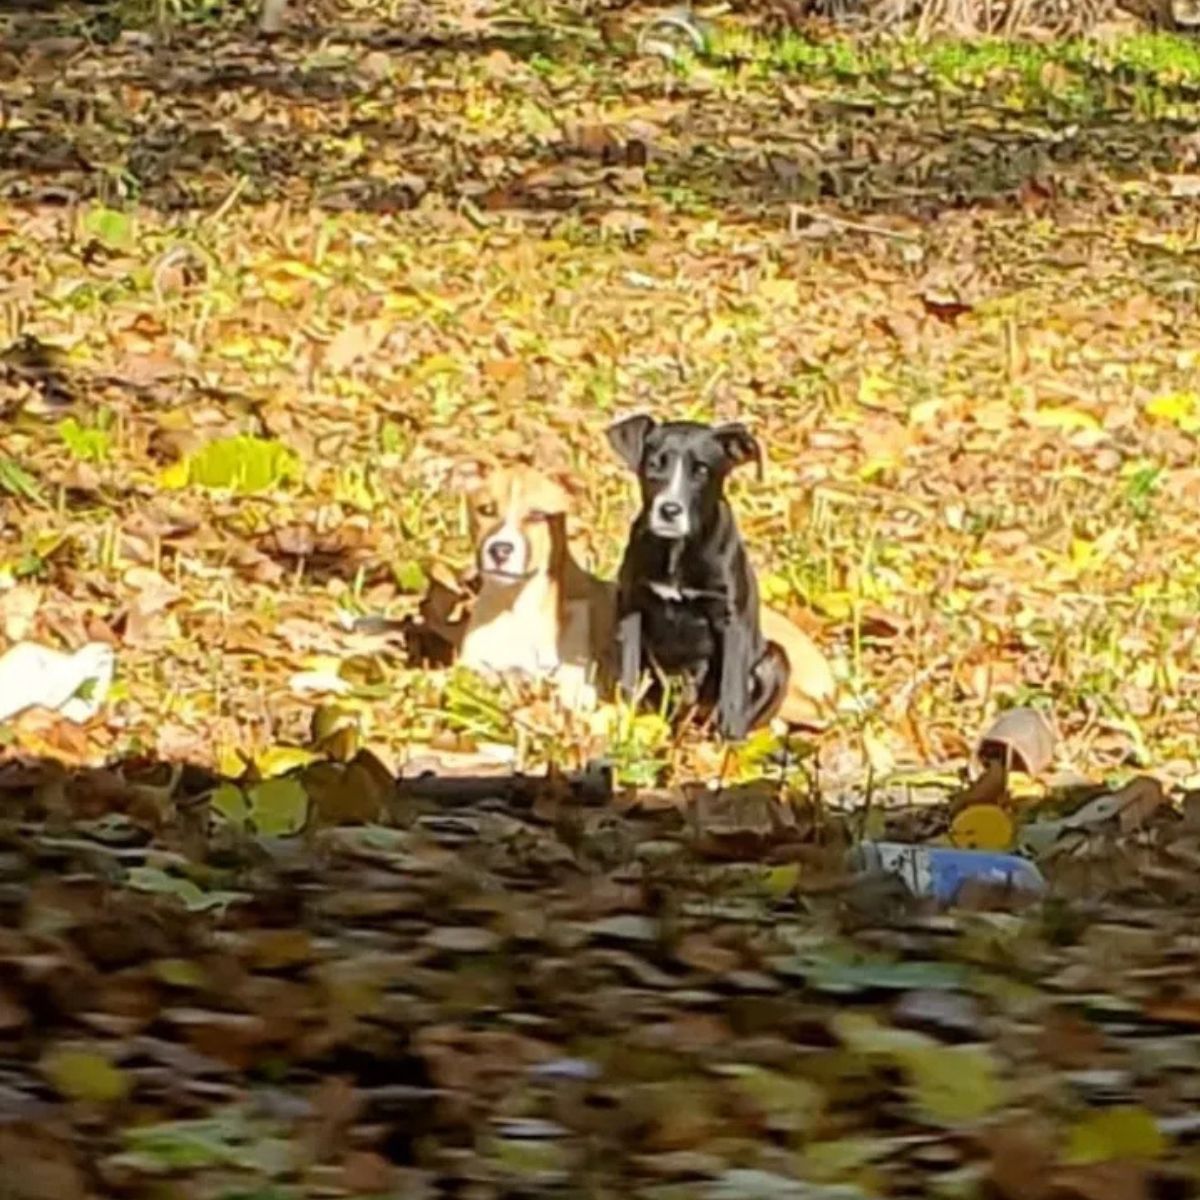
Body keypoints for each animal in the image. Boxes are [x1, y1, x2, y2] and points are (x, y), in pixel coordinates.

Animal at [609, 415, 787, 739]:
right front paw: (624, 715)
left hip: (776, 661)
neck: (677, 550)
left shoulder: (733, 618)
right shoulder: (631, 605)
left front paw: (731, 736)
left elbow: (732, 684)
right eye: (654, 465)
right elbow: (629, 666)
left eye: (702, 470)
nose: (669, 510)